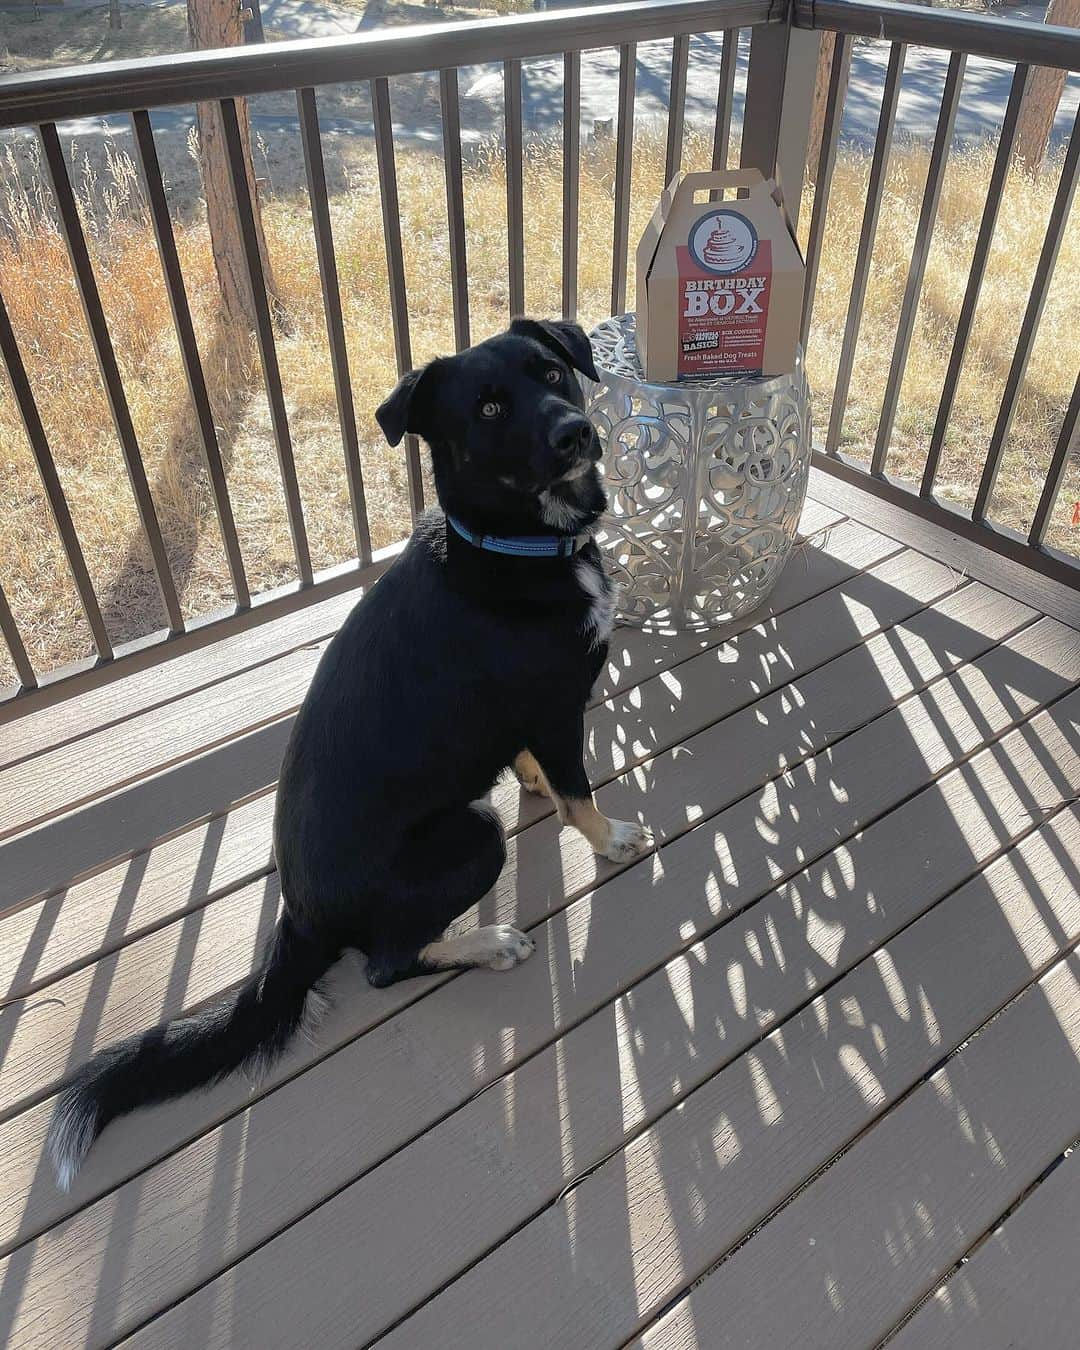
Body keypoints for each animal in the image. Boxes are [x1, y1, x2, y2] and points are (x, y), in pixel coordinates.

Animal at [46, 313, 653, 1182]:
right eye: (490, 409)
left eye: (551, 372)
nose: (574, 432)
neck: (510, 545)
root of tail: (301, 918)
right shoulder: (556, 706)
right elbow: (581, 791)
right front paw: (608, 838)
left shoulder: (533, 718)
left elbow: (544, 768)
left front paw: (533, 778)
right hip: (474, 835)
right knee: (386, 962)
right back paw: (485, 942)